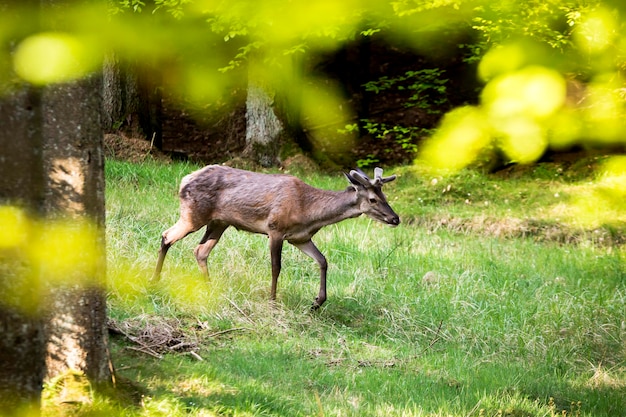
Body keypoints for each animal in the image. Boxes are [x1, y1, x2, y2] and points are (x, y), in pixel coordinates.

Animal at [149, 164, 398, 308]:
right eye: (373, 199)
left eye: (384, 195)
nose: (395, 218)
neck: (308, 212)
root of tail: (184, 180)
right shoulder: (275, 228)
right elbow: (276, 267)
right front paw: (272, 299)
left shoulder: (300, 237)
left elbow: (323, 261)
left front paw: (317, 302)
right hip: (193, 214)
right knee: (167, 236)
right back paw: (155, 280)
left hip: (219, 222)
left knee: (200, 251)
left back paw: (208, 287)